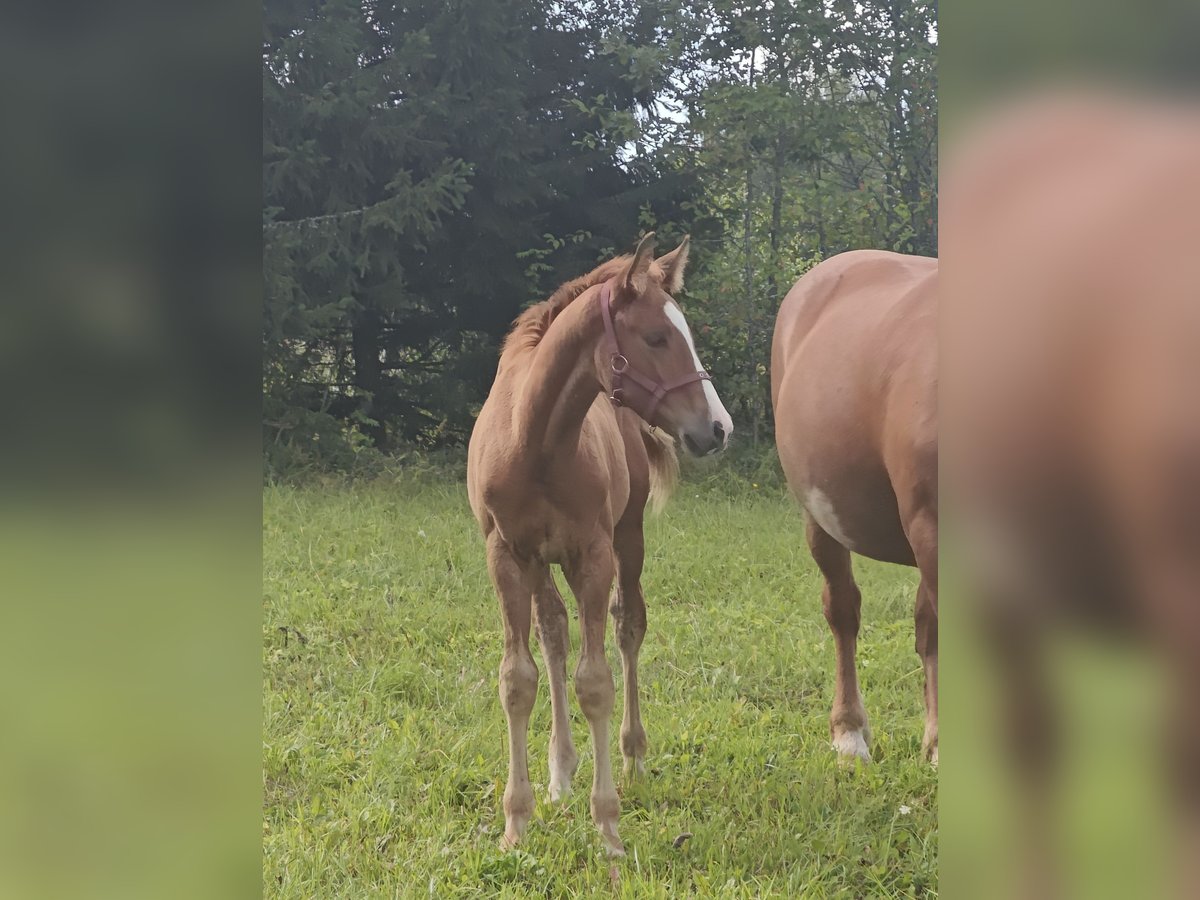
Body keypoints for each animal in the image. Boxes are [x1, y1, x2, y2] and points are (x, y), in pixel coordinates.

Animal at [465, 230, 729, 854]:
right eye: (656, 336)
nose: (718, 428)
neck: (534, 440)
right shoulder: (506, 555)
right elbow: (519, 678)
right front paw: (516, 822)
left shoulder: (594, 554)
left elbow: (597, 681)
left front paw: (607, 826)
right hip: (542, 562)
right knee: (554, 632)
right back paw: (561, 770)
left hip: (627, 537)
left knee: (628, 624)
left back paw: (633, 758)